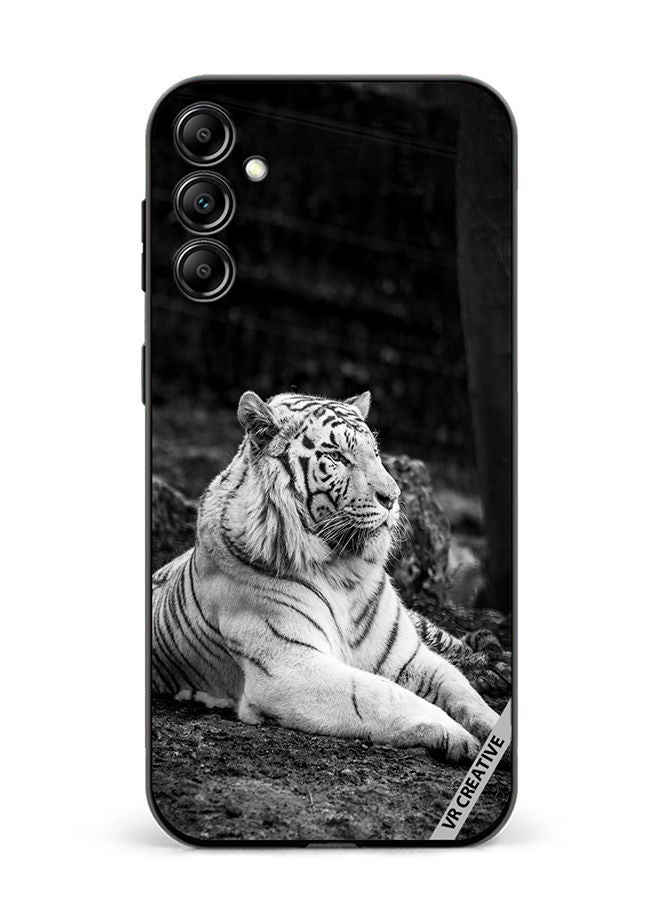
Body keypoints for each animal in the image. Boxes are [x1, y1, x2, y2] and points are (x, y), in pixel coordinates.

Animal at [151, 390, 499, 762]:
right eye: (337, 457)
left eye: (376, 454)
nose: (393, 498)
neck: (344, 571)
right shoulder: (290, 667)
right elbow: (381, 693)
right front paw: (457, 735)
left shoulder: (406, 655)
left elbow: (459, 687)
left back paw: (495, 665)